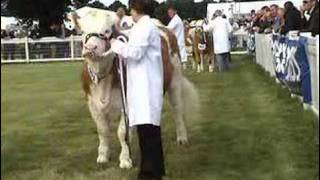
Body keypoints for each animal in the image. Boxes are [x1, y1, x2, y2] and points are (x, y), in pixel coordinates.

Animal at [69, 7, 199, 169]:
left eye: (107, 30)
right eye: (83, 32)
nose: (90, 48)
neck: (103, 77)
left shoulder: (130, 102)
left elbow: (122, 132)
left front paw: (125, 160)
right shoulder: (92, 103)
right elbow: (103, 130)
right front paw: (103, 155)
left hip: (175, 79)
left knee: (177, 109)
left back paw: (182, 138)